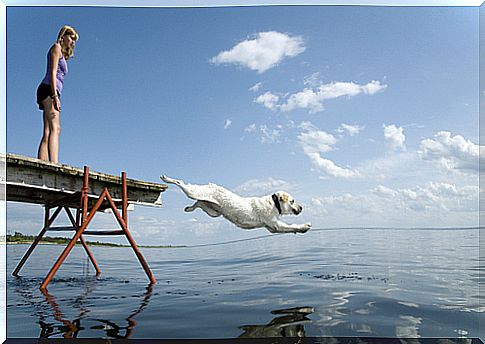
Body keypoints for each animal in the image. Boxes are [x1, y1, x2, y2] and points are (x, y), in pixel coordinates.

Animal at [159, 175, 310, 234]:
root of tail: (211, 185)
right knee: (181, 183)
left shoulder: (273, 228)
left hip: (213, 212)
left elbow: (290, 228)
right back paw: (166, 179)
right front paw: (304, 226)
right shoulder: (276, 225)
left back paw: (188, 208)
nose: (301, 207)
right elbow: (292, 225)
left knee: (198, 203)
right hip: (193, 192)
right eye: (292, 201)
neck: (274, 203)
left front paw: (301, 229)